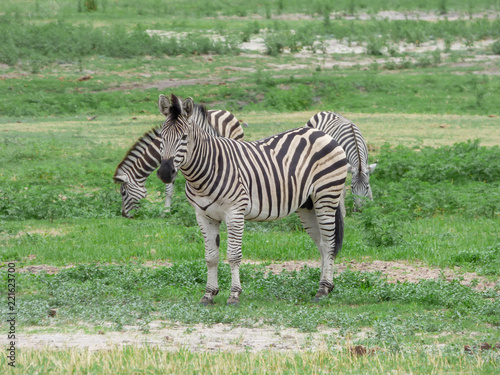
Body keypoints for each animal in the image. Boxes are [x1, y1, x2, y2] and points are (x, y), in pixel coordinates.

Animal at [158, 93, 346, 306]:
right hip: (308, 206)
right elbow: (211, 257)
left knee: (329, 243)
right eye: (161, 136)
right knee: (321, 244)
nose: (165, 172)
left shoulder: (235, 212)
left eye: (184, 137)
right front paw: (209, 294)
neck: (210, 167)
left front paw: (234, 295)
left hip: (326, 197)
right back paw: (325, 287)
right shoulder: (203, 215)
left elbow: (233, 256)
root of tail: (321, 133)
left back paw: (322, 290)